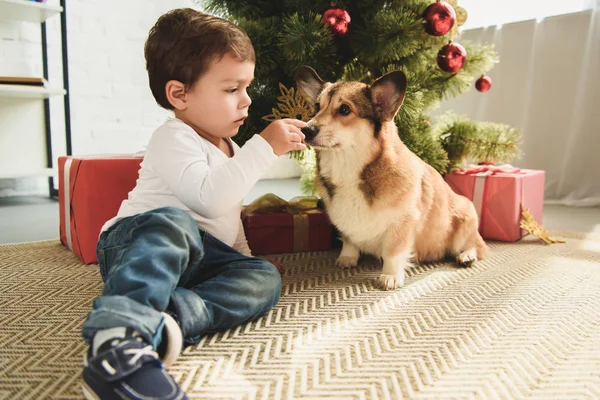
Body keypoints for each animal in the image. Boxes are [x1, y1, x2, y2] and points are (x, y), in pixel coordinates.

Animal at [296, 66, 488, 290]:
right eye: (317, 107)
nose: (306, 130)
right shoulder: (345, 222)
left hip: (464, 220)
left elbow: (393, 253)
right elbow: (349, 240)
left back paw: (467, 256)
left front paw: (390, 276)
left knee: (477, 246)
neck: (349, 169)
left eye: (344, 110)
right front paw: (347, 258)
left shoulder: (402, 224)